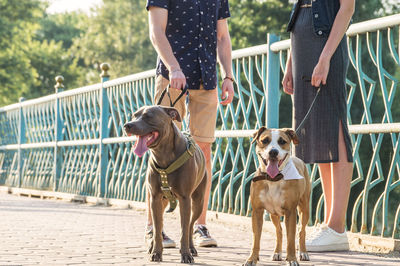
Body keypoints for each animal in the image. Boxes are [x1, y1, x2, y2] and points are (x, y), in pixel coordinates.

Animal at [124, 105, 206, 262]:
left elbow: (184, 229)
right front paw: (156, 252)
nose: (127, 125)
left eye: (148, 116)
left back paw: (191, 248)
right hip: (161, 201)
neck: (163, 155)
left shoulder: (185, 199)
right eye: (134, 115)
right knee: (159, 225)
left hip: (198, 202)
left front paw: (186, 254)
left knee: (191, 225)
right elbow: (157, 229)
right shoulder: (155, 198)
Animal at [244, 127, 312, 266]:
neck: (273, 179)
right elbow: (256, 239)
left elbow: (291, 239)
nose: (273, 152)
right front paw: (252, 258)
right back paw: (277, 253)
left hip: (304, 208)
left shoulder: (291, 212)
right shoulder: (257, 211)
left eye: (282, 141)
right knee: (279, 231)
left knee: (301, 231)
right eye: (265, 140)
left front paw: (292, 259)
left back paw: (303, 253)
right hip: (273, 214)